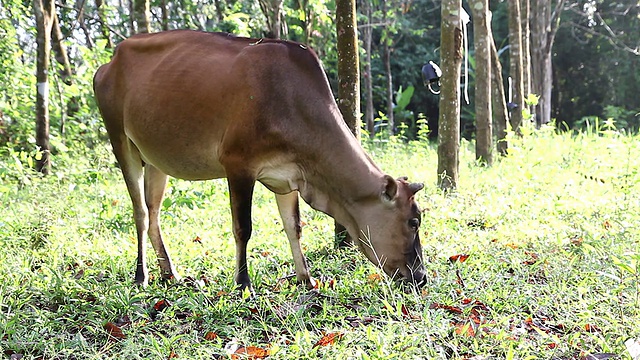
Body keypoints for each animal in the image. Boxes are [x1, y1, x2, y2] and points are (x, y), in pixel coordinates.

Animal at [92, 29, 428, 292]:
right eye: (413, 221)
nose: (421, 276)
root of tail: (111, 60)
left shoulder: (289, 176)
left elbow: (294, 226)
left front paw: (306, 278)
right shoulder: (238, 164)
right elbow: (243, 227)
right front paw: (243, 284)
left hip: (155, 158)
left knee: (154, 212)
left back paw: (169, 272)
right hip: (119, 139)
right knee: (140, 212)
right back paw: (141, 276)